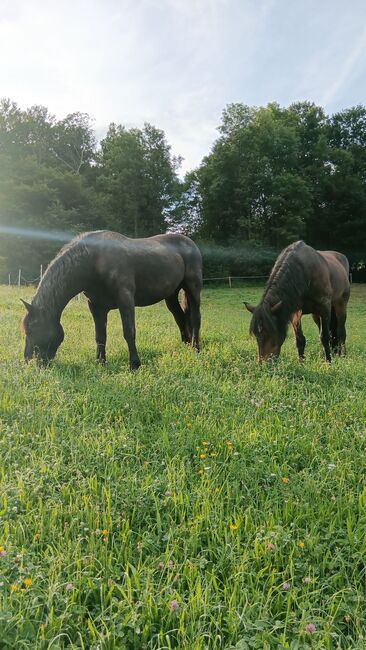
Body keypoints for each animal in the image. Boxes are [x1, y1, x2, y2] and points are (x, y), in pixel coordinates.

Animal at [21, 230, 203, 368]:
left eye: (31, 329)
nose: (29, 360)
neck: (94, 260)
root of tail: (190, 243)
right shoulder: (96, 306)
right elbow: (100, 335)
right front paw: (100, 363)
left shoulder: (125, 299)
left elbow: (129, 332)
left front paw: (134, 365)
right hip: (171, 295)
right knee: (180, 318)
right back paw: (185, 346)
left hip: (193, 288)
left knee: (195, 318)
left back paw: (196, 349)